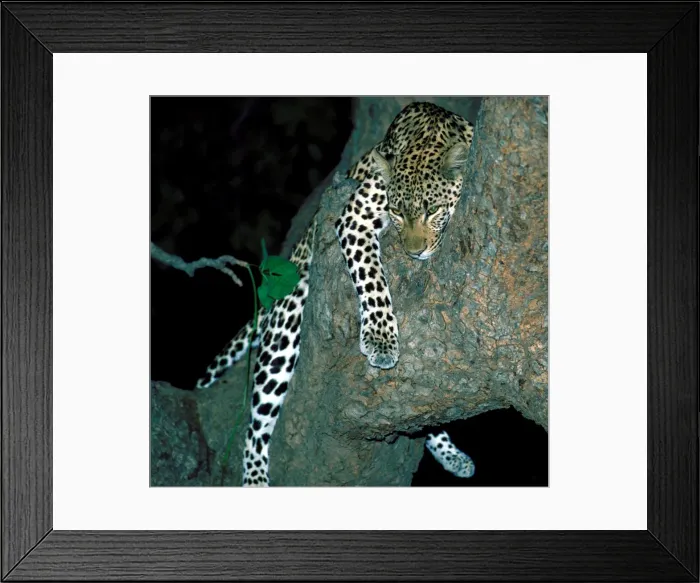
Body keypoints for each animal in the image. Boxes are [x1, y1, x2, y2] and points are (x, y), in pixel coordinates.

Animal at [196, 102, 476, 486]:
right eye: (396, 212)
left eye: (432, 210)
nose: (414, 252)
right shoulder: (355, 216)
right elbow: (372, 279)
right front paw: (381, 340)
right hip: (287, 321)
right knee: (254, 426)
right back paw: (254, 476)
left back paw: (454, 456)